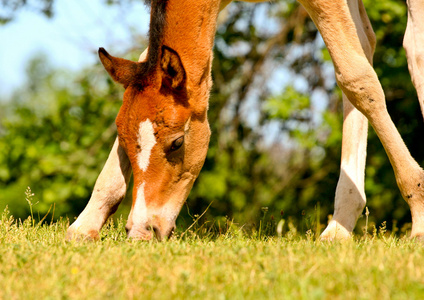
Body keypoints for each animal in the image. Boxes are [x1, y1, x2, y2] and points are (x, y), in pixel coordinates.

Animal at [66, 0, 424, 240]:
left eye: (177, 142)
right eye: (123, 141)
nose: (143, 229)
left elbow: (356, 77)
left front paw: (419, 210)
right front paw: (85, 224)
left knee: (410, 44)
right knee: (368, 41)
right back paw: (339, 226)